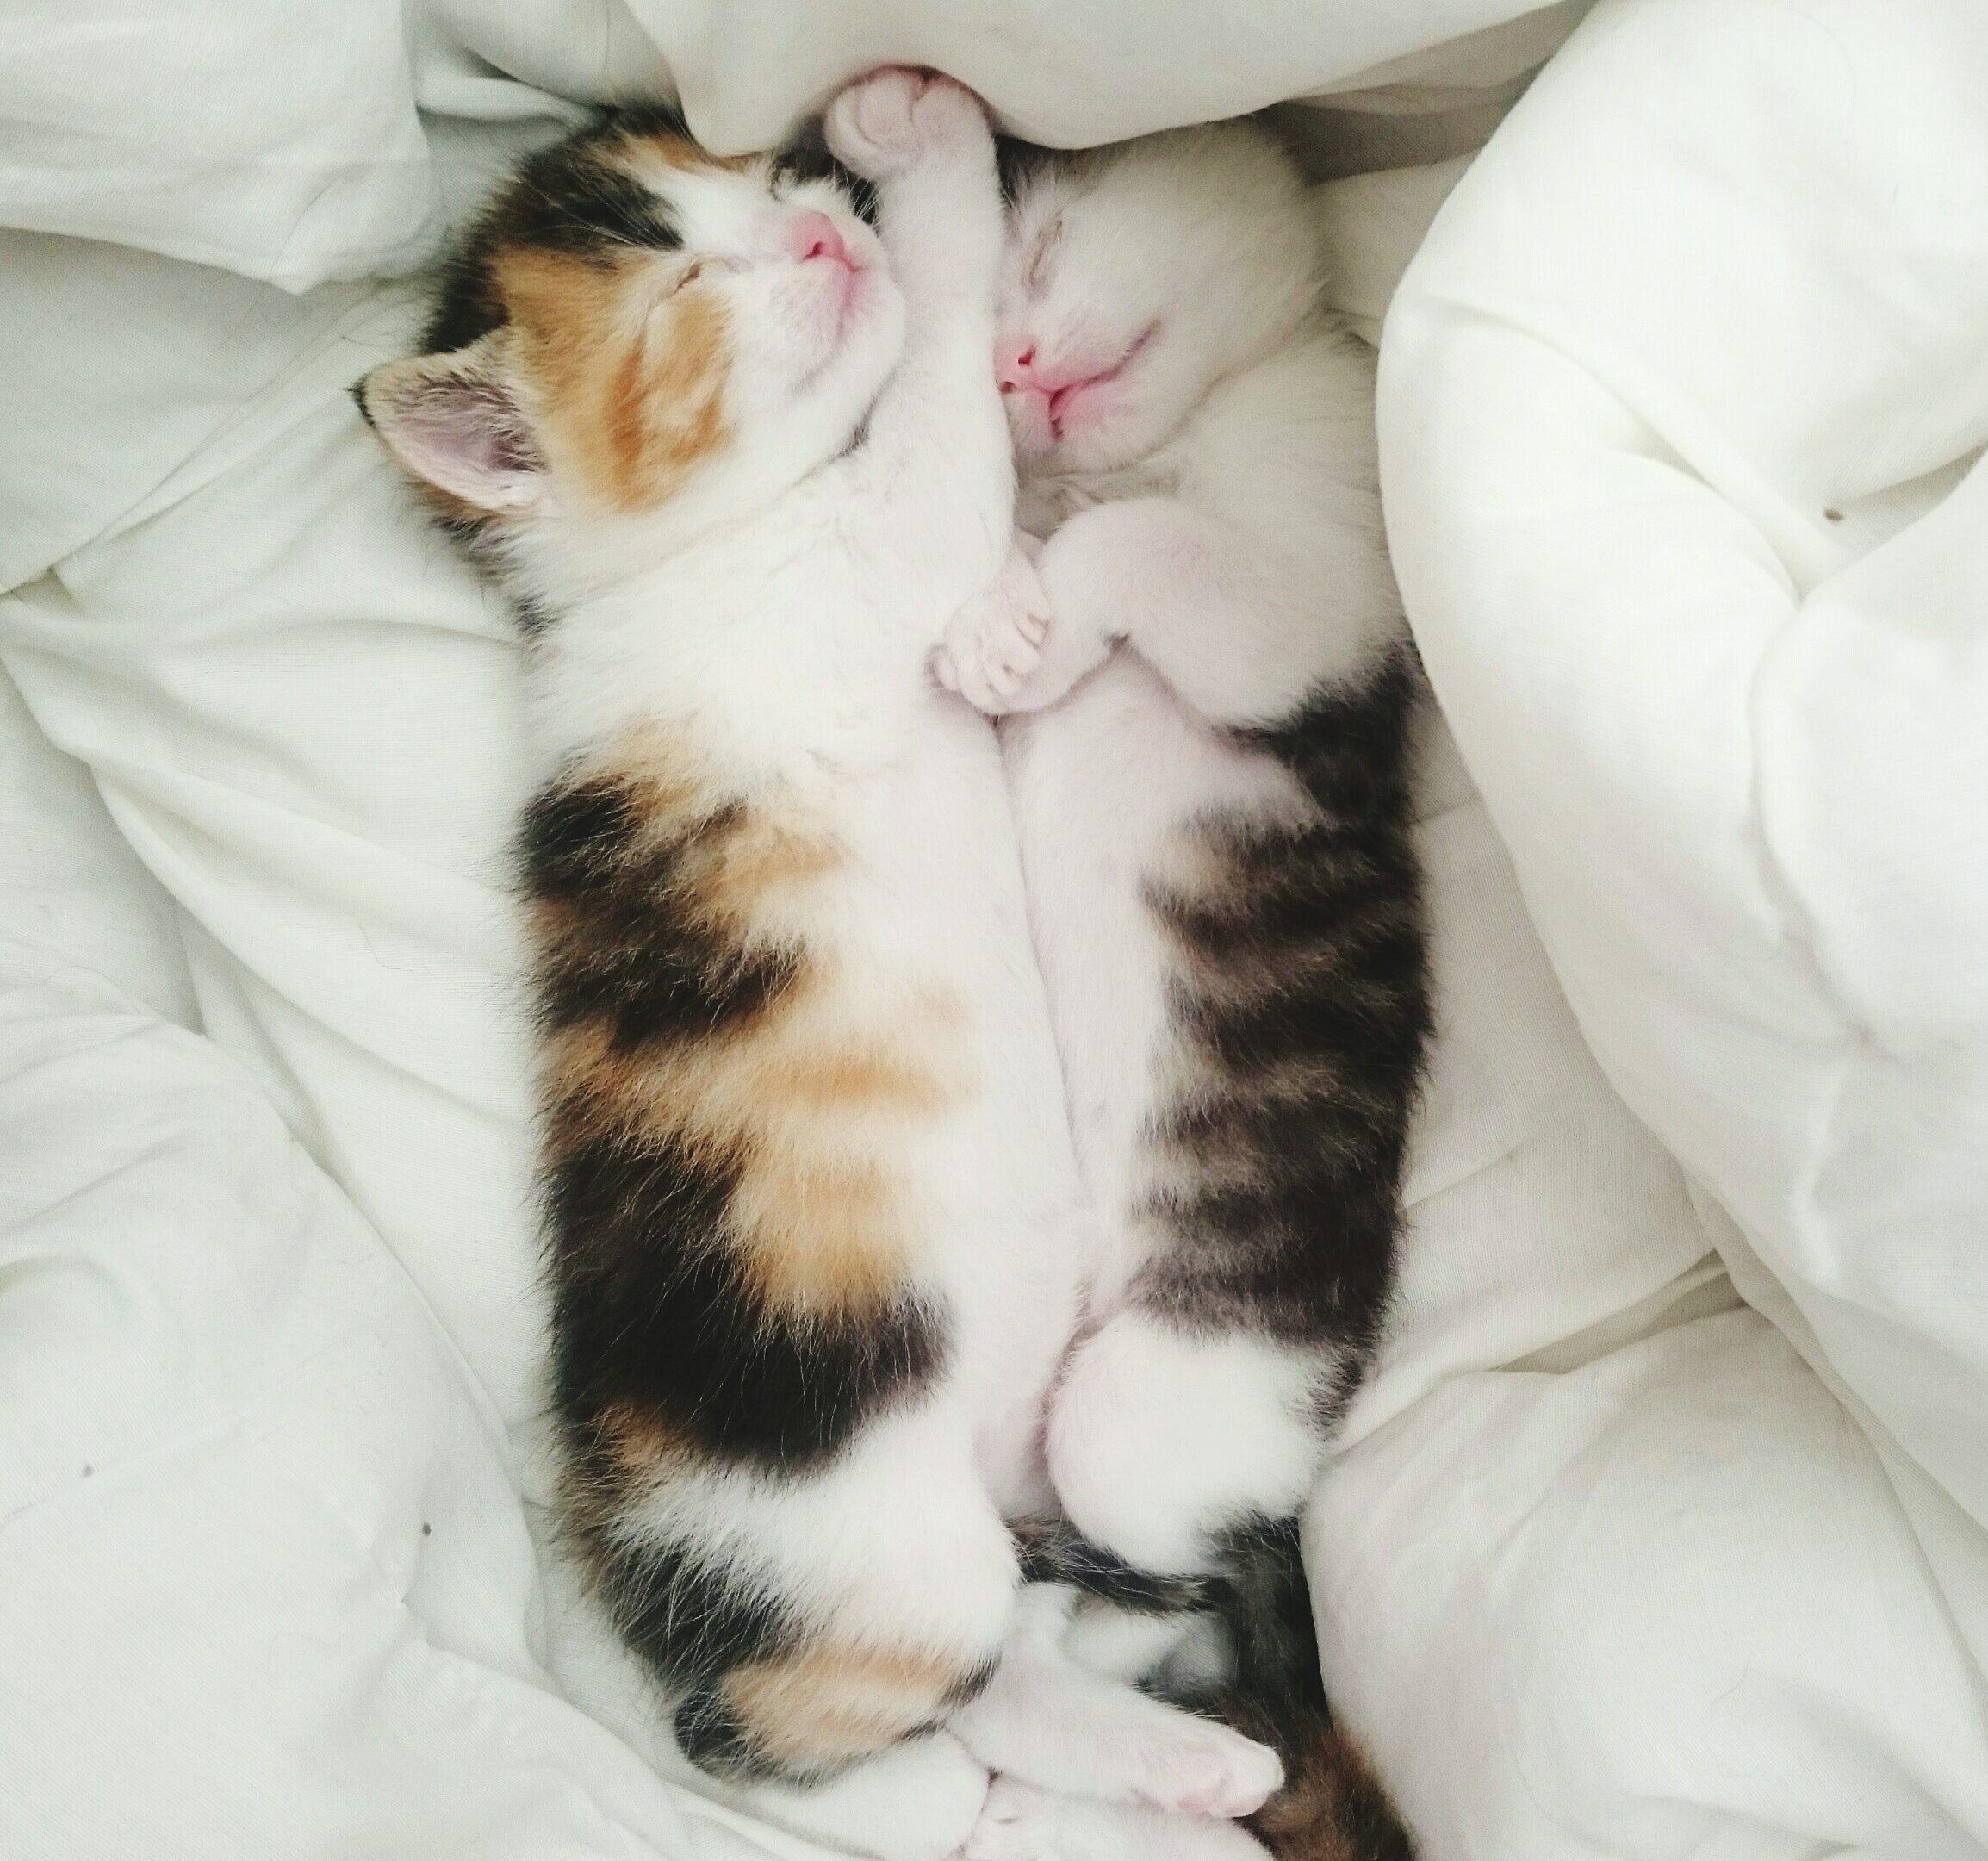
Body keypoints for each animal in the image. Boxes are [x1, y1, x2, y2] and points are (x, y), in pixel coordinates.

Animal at [941, 123, 1431, 1852]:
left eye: (1044, 244)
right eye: (985, 302)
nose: (1012, 362)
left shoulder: (1319, 607)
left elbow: (1143, 547)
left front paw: (1036, 615)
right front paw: (1002, 613)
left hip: (1163, 1397)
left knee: (1171, 1561)